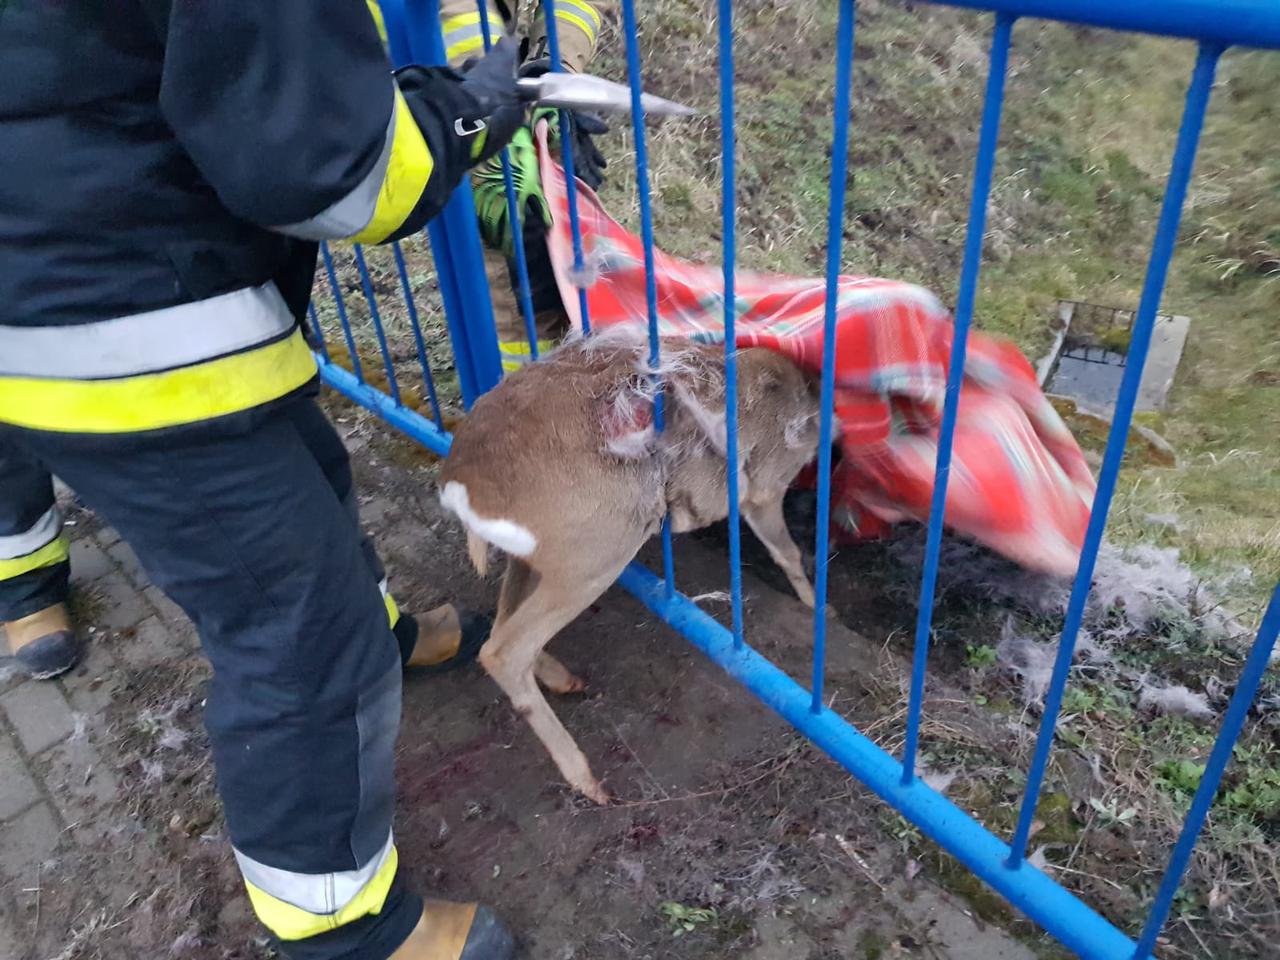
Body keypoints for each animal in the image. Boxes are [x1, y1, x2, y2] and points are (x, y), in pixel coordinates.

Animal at [440, 330, 819, 803]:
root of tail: (460, 487)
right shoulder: (765, 490)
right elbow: (788, 553)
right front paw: (819, 607)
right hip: (596, 554)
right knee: (503, 651)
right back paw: (588, 780)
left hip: (538, 560)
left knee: (503, 623)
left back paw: (565, 680)